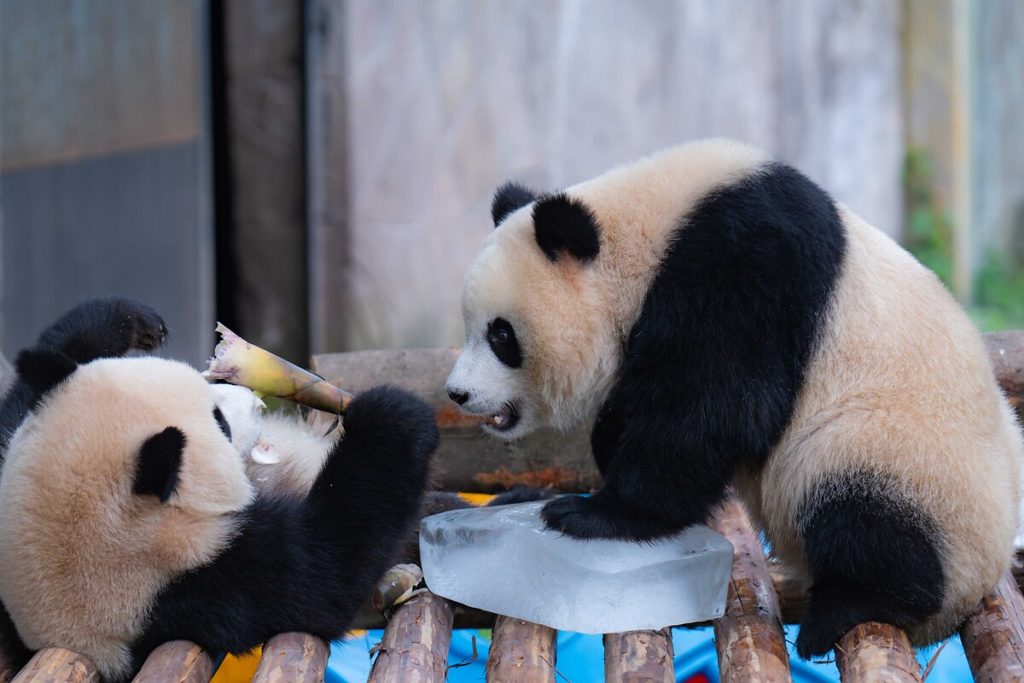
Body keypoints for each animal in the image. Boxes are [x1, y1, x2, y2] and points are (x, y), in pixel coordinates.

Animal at [0, 299, 436, 683]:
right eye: (219, 422)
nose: (254, 400)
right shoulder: (204, 584)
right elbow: (327, 571)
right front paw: (391, 414)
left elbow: (21, 398)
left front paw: (127, 318)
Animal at [446, 137, 1024, 655]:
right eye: (471, 325)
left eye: (501, 336)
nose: (457, 393)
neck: (648, 230)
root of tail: (986, 572)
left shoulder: (743, 264)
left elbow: (716, 407)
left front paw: (595, 514)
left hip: (910, 457)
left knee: (859, 506)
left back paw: (850, 610)